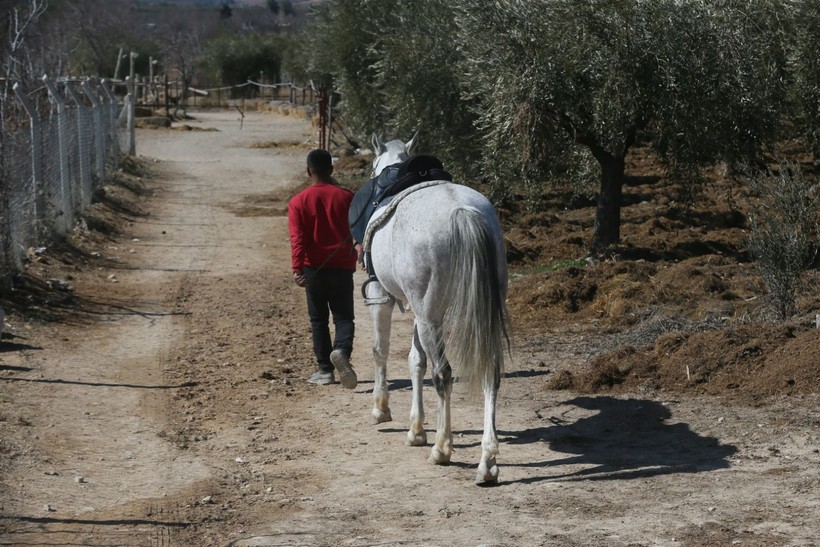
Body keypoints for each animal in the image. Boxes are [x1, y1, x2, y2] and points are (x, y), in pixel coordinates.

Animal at [362, 134, 510, 484]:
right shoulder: (419, 309)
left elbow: (381, 349)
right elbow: (415, 360)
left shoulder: (381, 294)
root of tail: (462, 211)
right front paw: (416, 429)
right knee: (490, 372)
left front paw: (381, 409)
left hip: (429, 314)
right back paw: (487, 462)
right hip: (471, 312)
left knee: (443, 373)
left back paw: (443, 448)